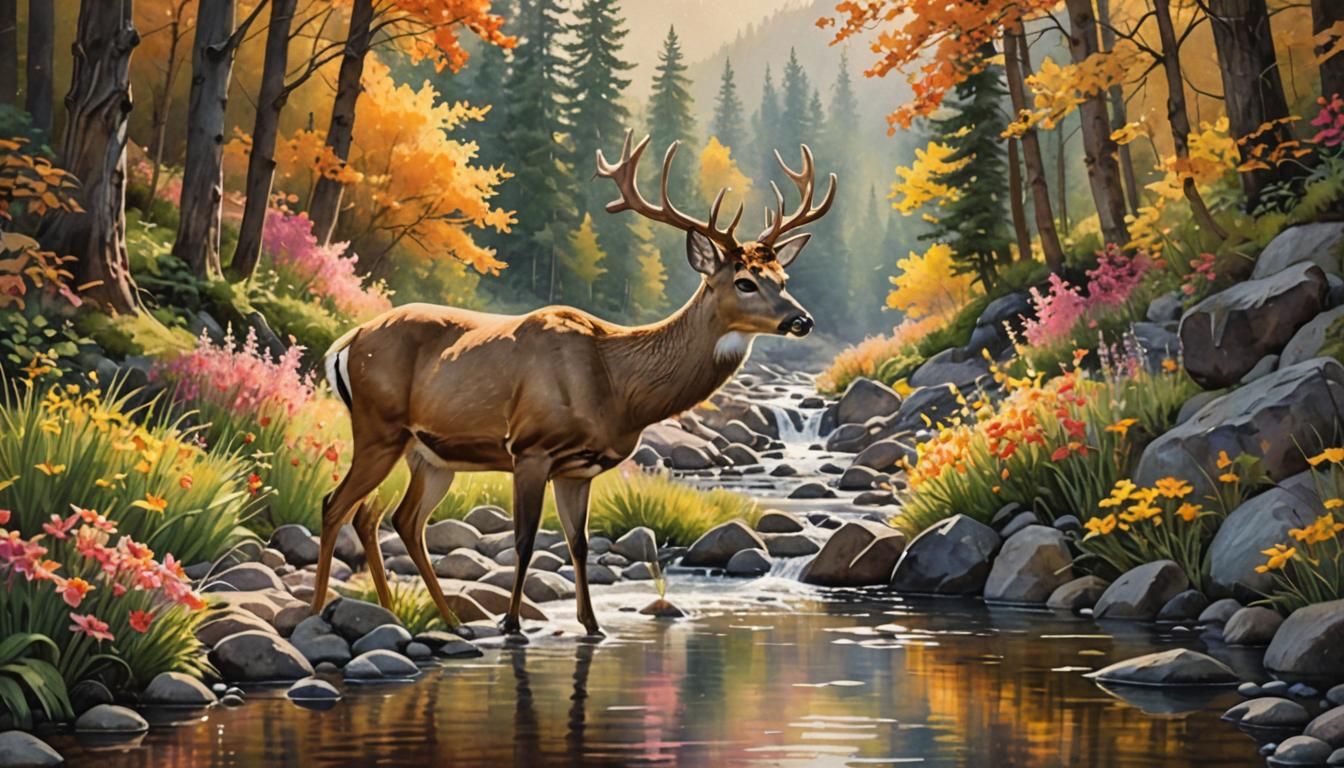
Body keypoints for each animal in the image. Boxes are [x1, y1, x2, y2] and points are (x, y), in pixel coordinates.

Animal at [311, 130, 836, 637]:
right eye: (745, 281)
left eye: (783, 276)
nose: (802, 320)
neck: (617, 385)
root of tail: (348, 341)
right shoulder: (530, 448)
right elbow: (525, 539)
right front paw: (512, 624)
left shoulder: (578, 468)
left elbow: (578, 542)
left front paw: (592, 624)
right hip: (379, 428)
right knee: (336, 504)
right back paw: (318, 612)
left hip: (428, 454)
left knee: (392, 518)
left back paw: (438, 619)